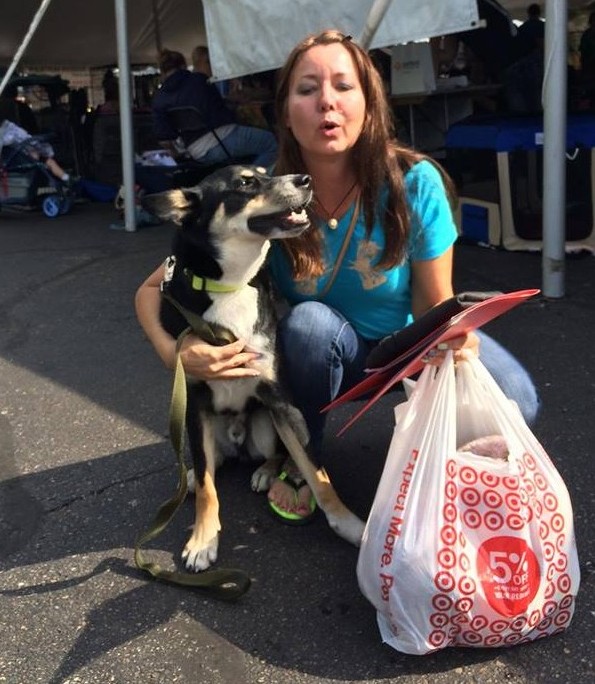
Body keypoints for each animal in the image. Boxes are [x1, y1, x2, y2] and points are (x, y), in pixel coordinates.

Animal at [144, 166, 366, 572]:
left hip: (265, 427)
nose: (306, 179)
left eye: (268, 173)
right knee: (206, 466)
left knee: (274, 453)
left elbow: (317, 472)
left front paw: (352, 526)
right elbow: (208, 488)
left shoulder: (280, 400)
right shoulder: (195, 403)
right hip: (201, 430)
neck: (229, 287)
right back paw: (192, 480)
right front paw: (203, 540)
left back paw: (264, 471)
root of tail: (238, 440)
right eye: (246, 183)